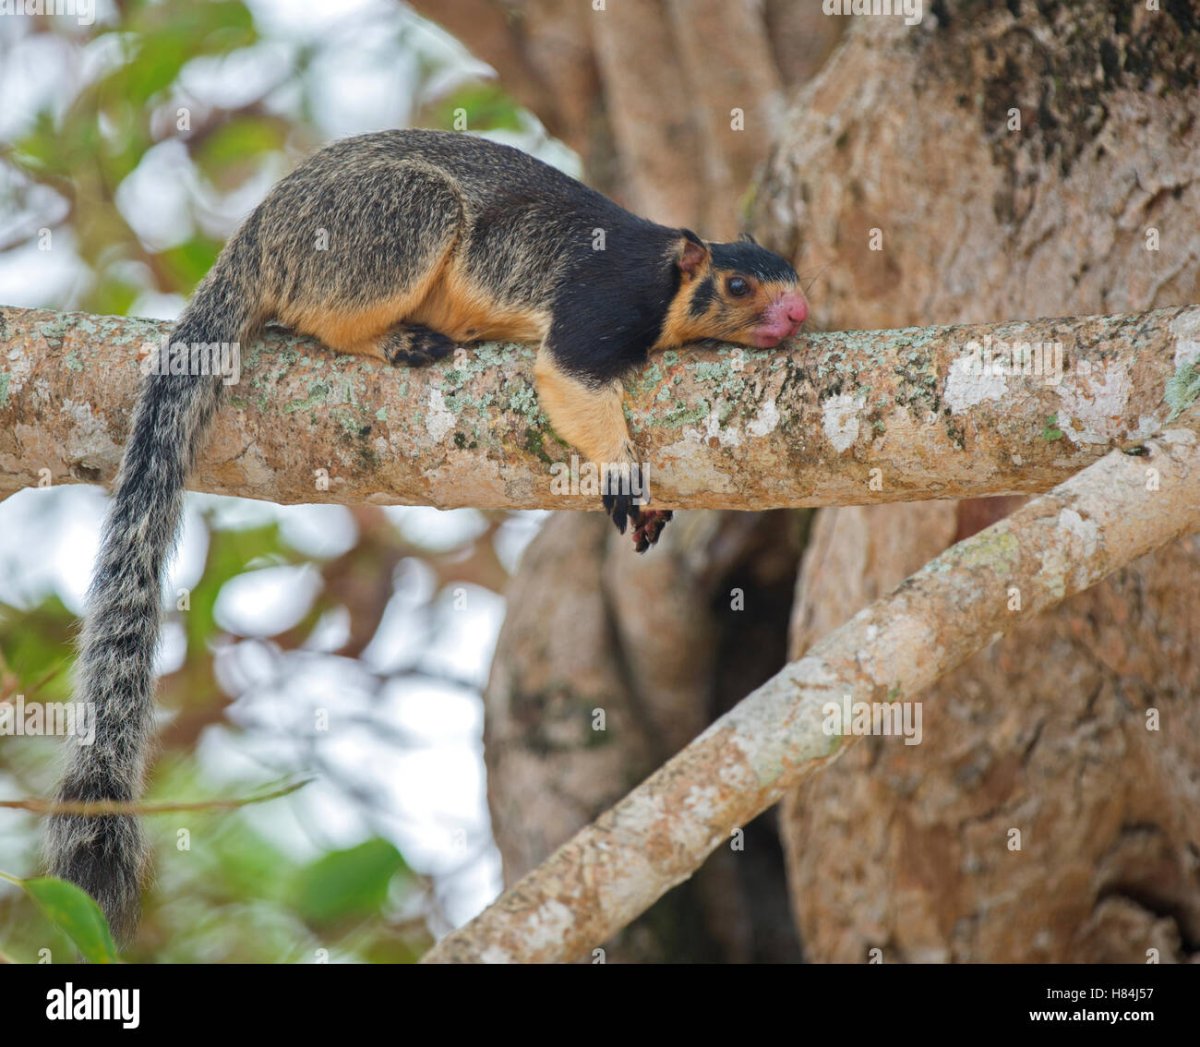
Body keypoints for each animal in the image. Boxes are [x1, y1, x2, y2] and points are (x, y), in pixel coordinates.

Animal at [45, 129, 808, 941]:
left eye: (797, 280)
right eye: (737, 287)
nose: (797, 315)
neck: (668, 277)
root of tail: (255, 238)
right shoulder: (604, 298)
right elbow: (568, 374)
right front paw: (625, 479)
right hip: (376, 226)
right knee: (337, 303)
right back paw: (396, 340)